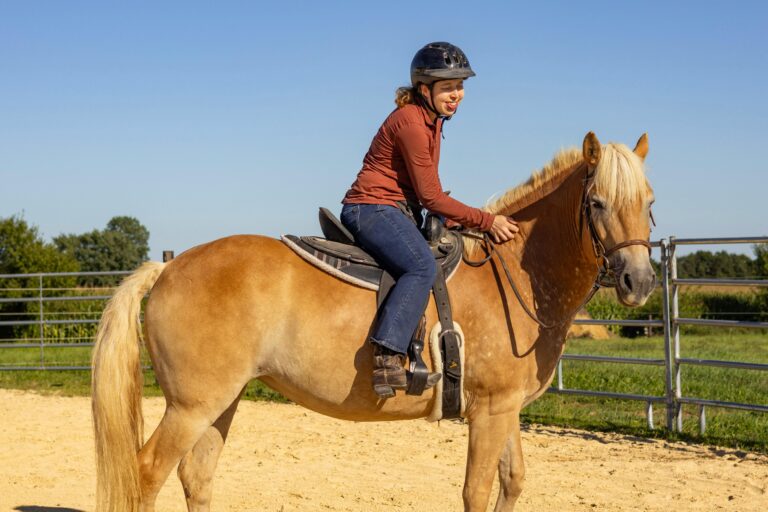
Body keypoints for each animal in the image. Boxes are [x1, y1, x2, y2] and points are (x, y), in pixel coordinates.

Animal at [92, 131, 656, 511]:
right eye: (597, 202)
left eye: (648, 202)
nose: (639, 281)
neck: (514, 270)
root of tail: (167, 267)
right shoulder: (491, 412)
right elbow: (476, 491)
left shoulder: (505, 408)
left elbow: (512, 480)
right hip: (191, 407)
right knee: (146, 474)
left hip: (220, 401)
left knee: (196, 476)